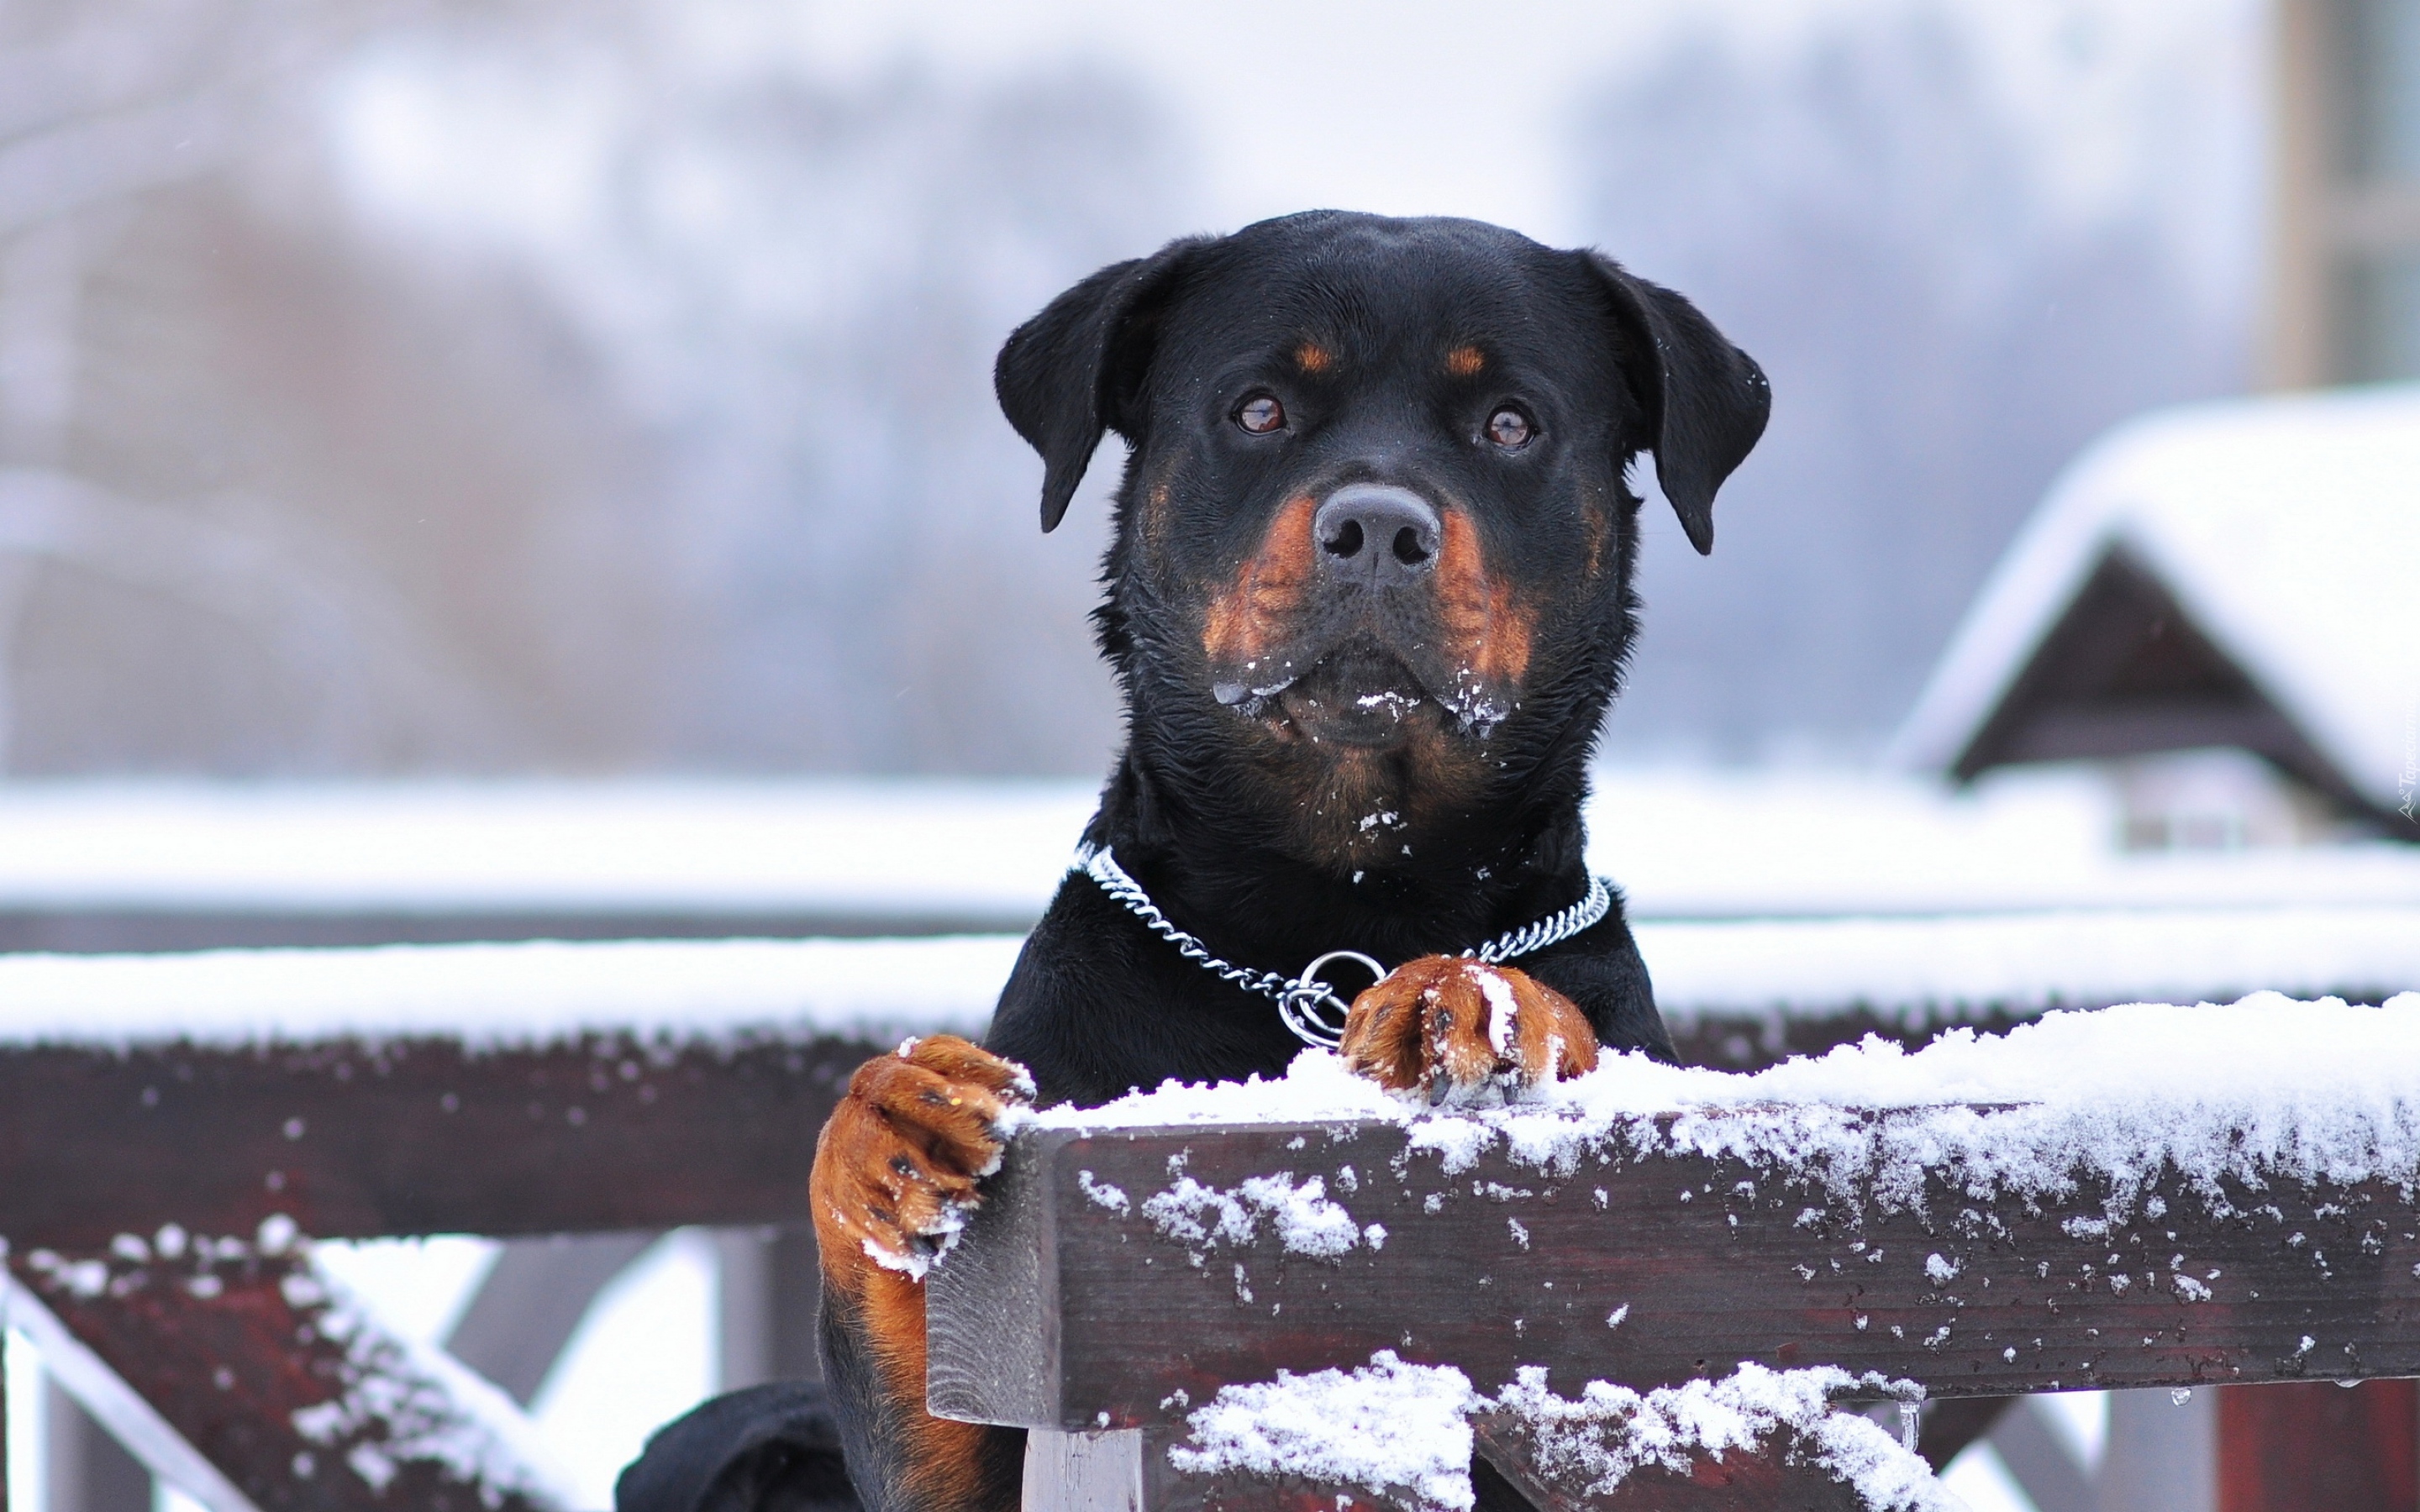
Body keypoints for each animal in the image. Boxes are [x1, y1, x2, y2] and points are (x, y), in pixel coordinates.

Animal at [803, 213, 1771, 1509]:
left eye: (1510, 424)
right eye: (1259, 409)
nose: (1378, 529)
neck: (1327, 910)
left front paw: (1475, 997)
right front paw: (888, 1123)